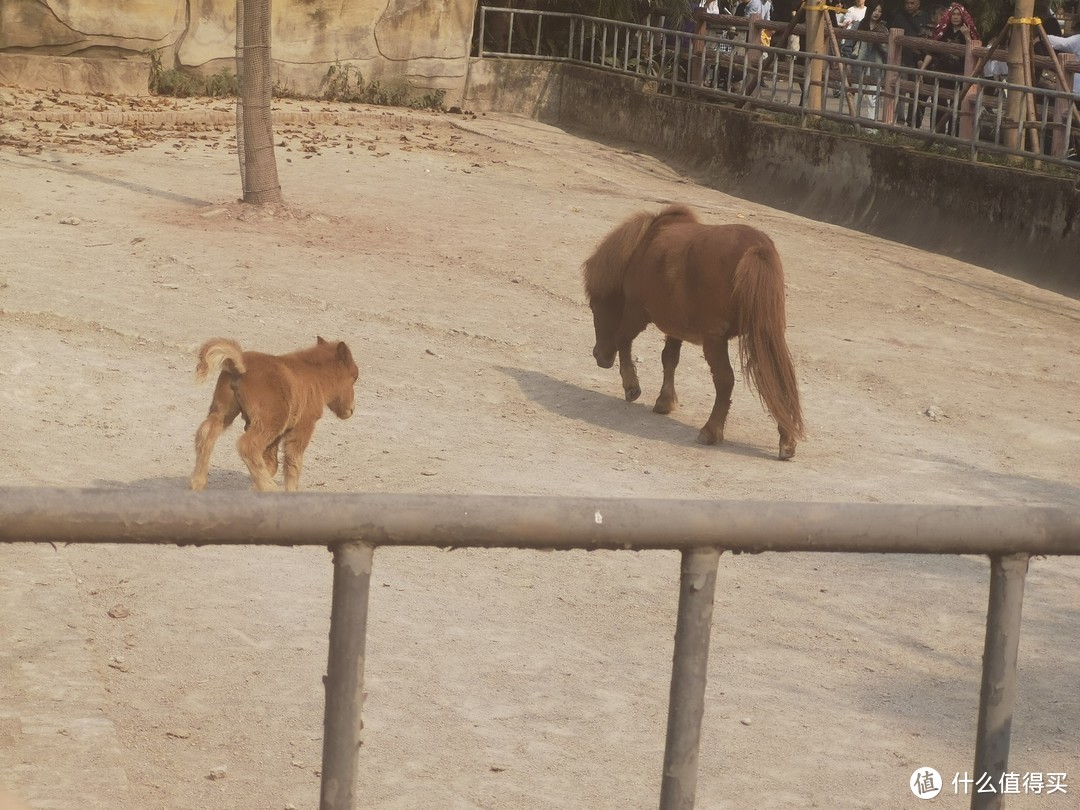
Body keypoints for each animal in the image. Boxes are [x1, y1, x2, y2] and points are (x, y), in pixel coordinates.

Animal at [187, 336, 360, 492]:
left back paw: (197, 483)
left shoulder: (275, 434)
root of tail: (240, 366)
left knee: (206, 434)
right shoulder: (303, 426)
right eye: (354, 378)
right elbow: (293, 462)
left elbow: (272, 462)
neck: (312, 375)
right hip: (270, 422)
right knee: (247, 445)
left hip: (223, 412)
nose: (351, 409)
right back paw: (269, 488)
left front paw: (254, 487)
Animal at [583, 206, 803, 460]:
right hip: (765, 334)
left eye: (594, 305)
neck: (641, 248)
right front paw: (665, 402)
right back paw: (787, 442)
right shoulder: (674, 327)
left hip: (715, 339)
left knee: (725, 380)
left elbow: (623, 340)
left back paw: (710, 432)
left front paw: (632, 388)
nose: (598, 355)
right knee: (777, 379)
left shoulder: (636, 312)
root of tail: (757, 249)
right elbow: (669, 359)